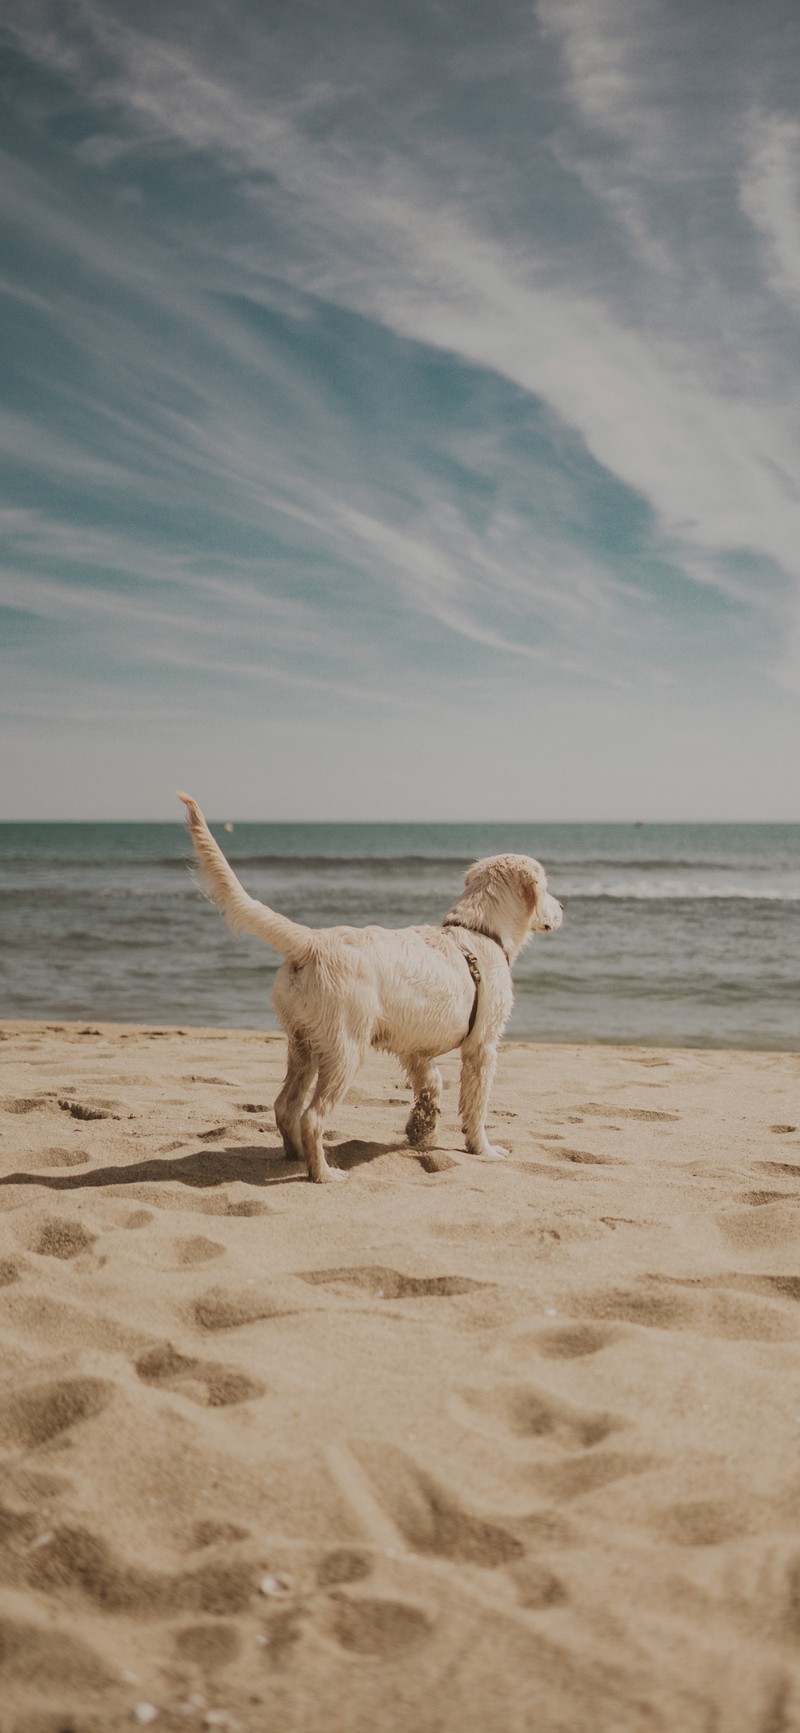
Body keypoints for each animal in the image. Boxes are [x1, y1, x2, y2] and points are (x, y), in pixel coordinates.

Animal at [176, 793, 561, 1178]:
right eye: (546, 888)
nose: (561, 907)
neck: (479, 931)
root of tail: (312, 942)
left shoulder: (415, 1049)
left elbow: (431, 1085)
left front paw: (421, 1130)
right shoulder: (482, 1047)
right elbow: (476, 1105)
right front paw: (483, 1149)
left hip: (302, 1044)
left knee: (285, 1107)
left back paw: (297, 1156)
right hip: (345, 1049)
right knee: (312, 1117)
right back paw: (324, 1173)